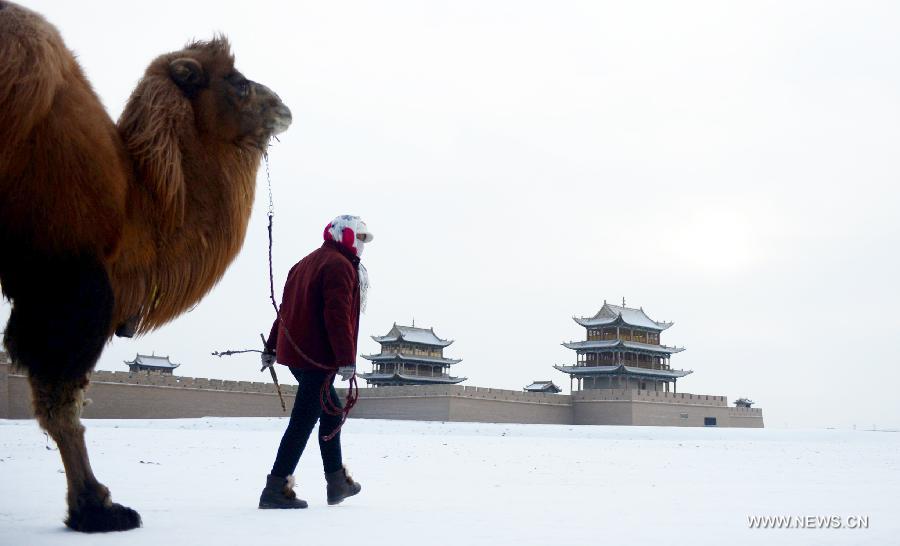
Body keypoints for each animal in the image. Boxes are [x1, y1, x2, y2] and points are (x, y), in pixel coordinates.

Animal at [0, 2, 294, 528]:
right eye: (237, 81)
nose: (283, 106)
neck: (132, 201)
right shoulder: (67, 280)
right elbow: (61, 400)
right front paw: (98, 508)